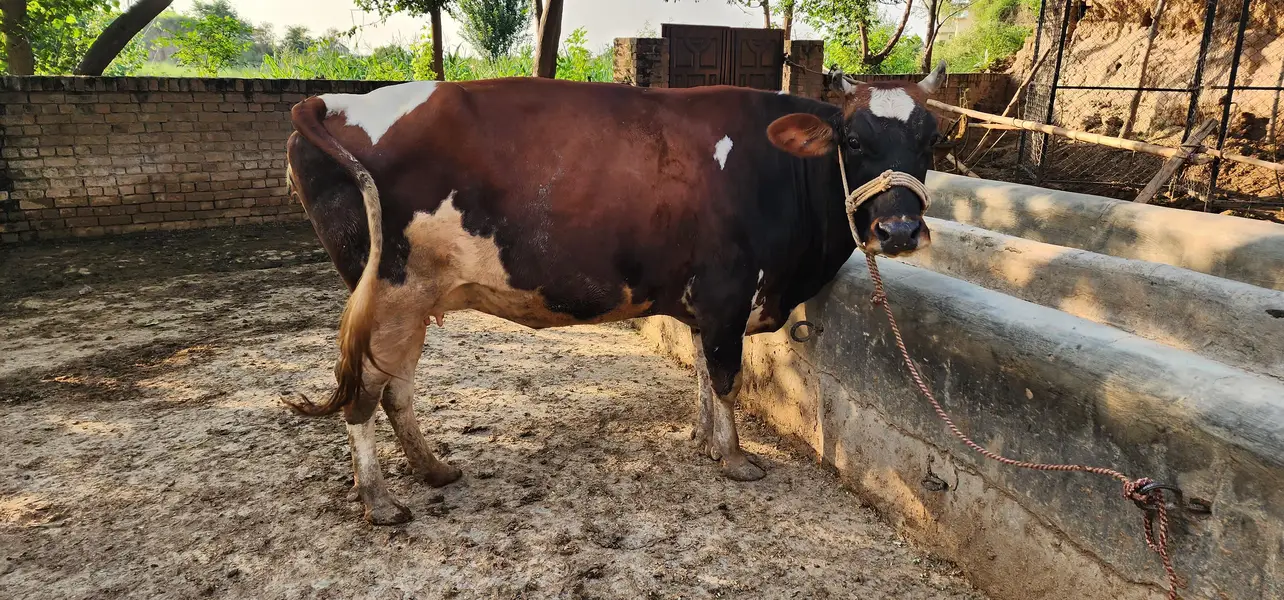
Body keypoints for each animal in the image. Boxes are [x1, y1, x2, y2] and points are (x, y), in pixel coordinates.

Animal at [284, 63, 946, 524]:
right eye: (853, 141)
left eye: (930, 141)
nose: (899, 230)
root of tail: (331, 99)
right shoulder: (728, 293)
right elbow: (725, 377)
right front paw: (735, 459)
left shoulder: (704, 302)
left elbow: (702, 373)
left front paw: (704, 441)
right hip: (392, 296)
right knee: (364, 397)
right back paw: (380, 501)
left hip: (410, 302)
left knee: (395, 391)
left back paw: (433, 469)